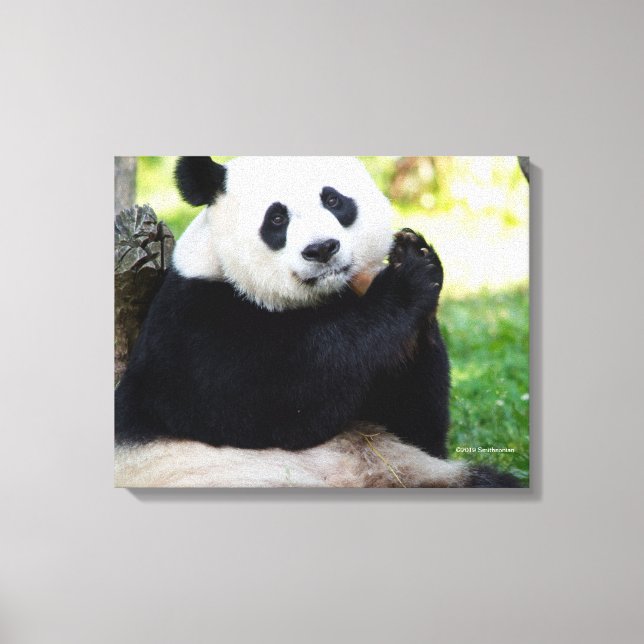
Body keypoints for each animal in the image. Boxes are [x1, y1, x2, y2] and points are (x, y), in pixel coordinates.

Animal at [115, 156, 519, 488]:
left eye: (333, 200)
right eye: (277, 218)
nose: (322, 249)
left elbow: (415, 425)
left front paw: (413, 252)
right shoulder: (193, 328)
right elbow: (281, 402)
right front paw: (407, 279)